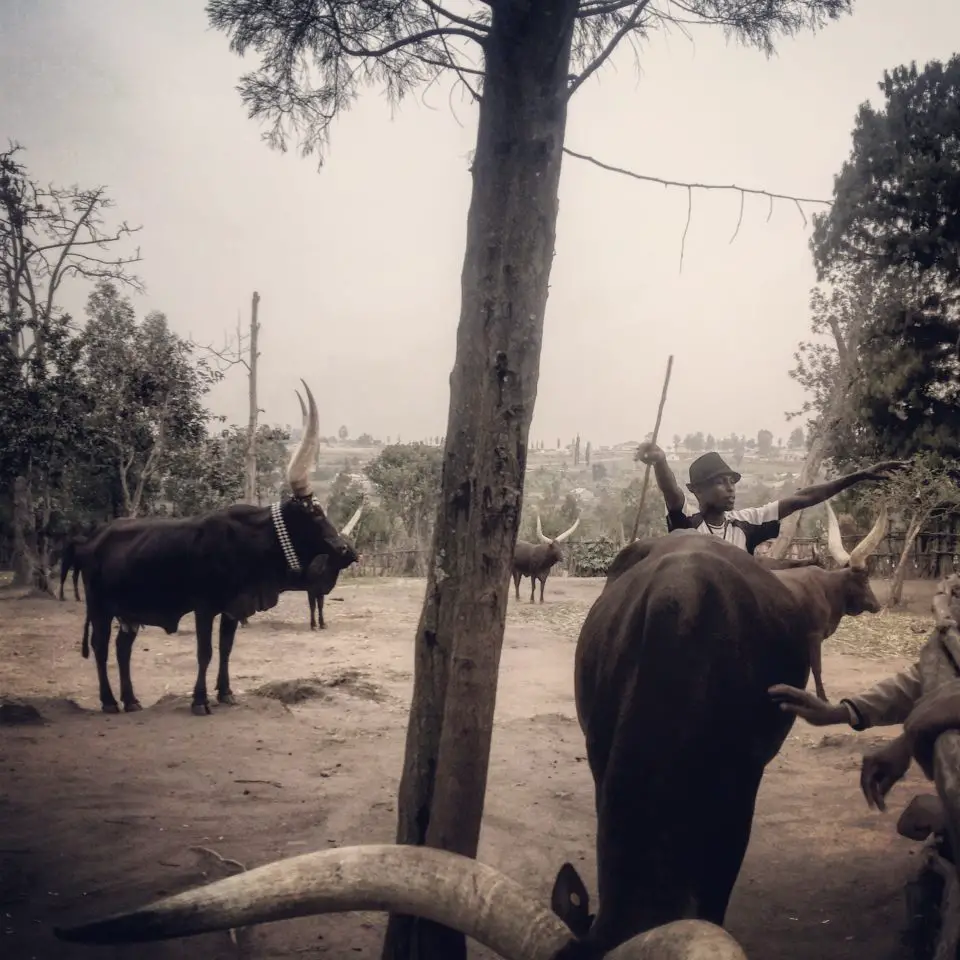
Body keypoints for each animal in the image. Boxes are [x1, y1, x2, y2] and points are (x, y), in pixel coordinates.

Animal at [78, 378, 360, 716]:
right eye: (315, 511)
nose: (343, 548)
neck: (248, 542)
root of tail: (94, 536)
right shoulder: (204, 607)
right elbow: (206, 652)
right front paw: (200, 701)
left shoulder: (232, 607)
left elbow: (226, 649)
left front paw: (225, 692)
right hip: (99, 608)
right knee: (100, 647)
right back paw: (109, 701)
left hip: (128, 613)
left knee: (122, 649)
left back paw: (131, 700)